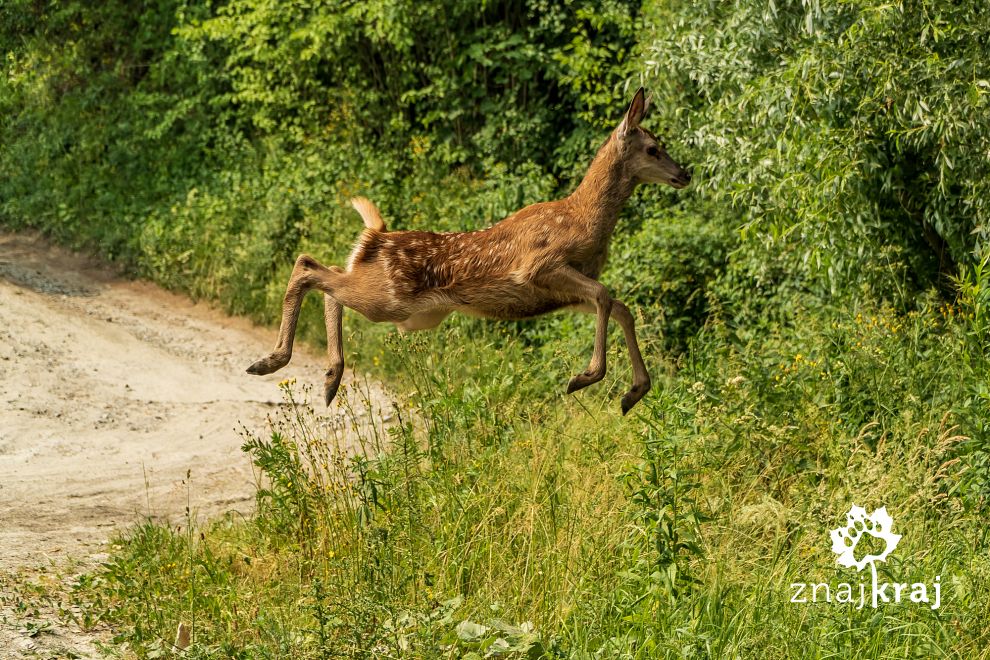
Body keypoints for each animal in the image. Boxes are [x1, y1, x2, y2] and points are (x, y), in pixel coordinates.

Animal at [250, 89, 688, 412]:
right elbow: (605, 295)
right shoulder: (539, 267)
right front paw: (586, 377)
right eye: (653, 148)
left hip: (407, 308)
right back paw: (271, 361)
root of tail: (376, 237)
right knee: (308, 267)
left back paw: (329, 378)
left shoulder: (562, 294)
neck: (583, 218)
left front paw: (633, 393)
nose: (685, 173)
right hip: (389, 299)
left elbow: (618, 306)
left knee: (329, 284)